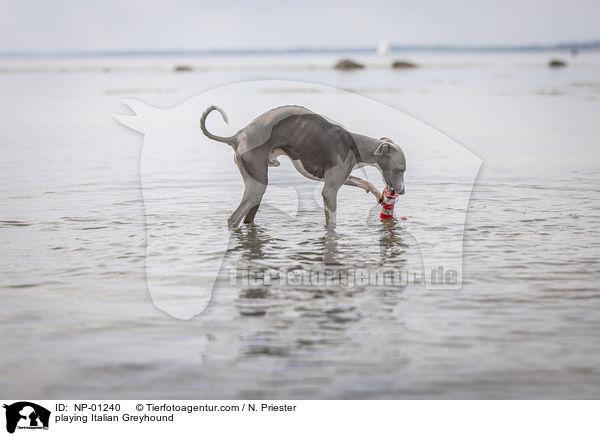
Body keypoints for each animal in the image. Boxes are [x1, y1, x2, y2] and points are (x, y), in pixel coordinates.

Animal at [202, 106, 408, 228]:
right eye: (401, 169)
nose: (402, 191)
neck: (354, 144)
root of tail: (237, 136)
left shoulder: (340, 177)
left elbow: (364, 182)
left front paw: (379, 196)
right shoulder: (329, 190)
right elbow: (331, 221)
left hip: (257, 189)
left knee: (247, 217)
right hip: (257, 182)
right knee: (233, 219)